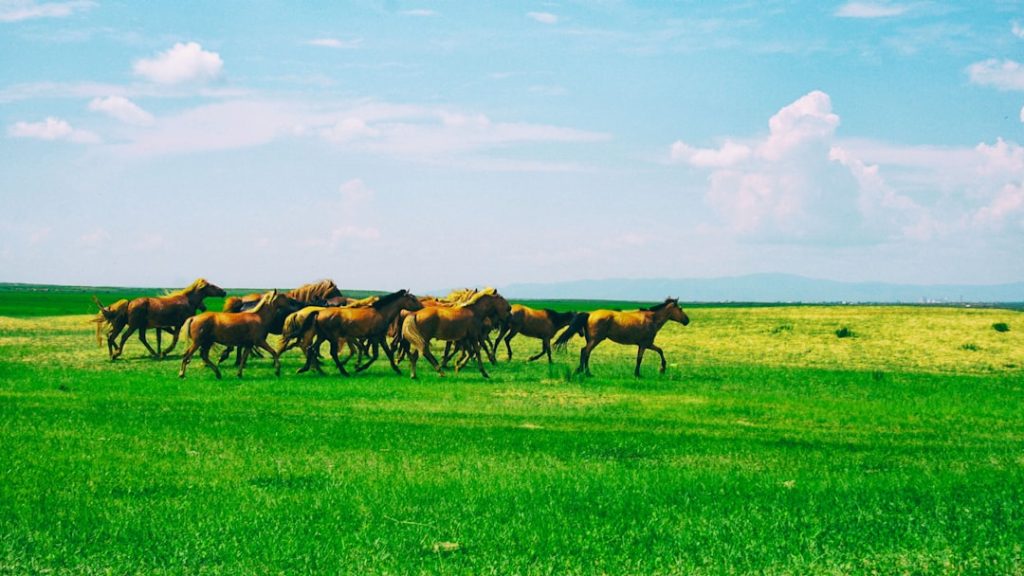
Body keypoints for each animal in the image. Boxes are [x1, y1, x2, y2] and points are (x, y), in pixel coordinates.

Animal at [95, 278, 226, 360]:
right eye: (211, 285)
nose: (224, 292)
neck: (188, 301)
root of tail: (129, 302)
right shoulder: (178, 324)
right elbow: (175, 339)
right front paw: (164, 352)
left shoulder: (165, 326)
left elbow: (167, 337)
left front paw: (161, 352)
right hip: (133, 326)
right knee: (121, 337)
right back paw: (116, 354)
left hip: (131, 325)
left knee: (118, 337)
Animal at [553, 298, 689, 377]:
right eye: (680, 308)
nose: (687, 320)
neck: (652, 319)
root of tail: (590, 314)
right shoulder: (645, 344)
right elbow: (641, 358)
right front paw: (643, 373)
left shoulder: (647, 344)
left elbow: (658, 351)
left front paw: (661, 369)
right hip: (595, 339)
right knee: (585, 352)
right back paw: (586, 372)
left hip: (592, 340)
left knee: (585, 352)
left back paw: (582, 371)